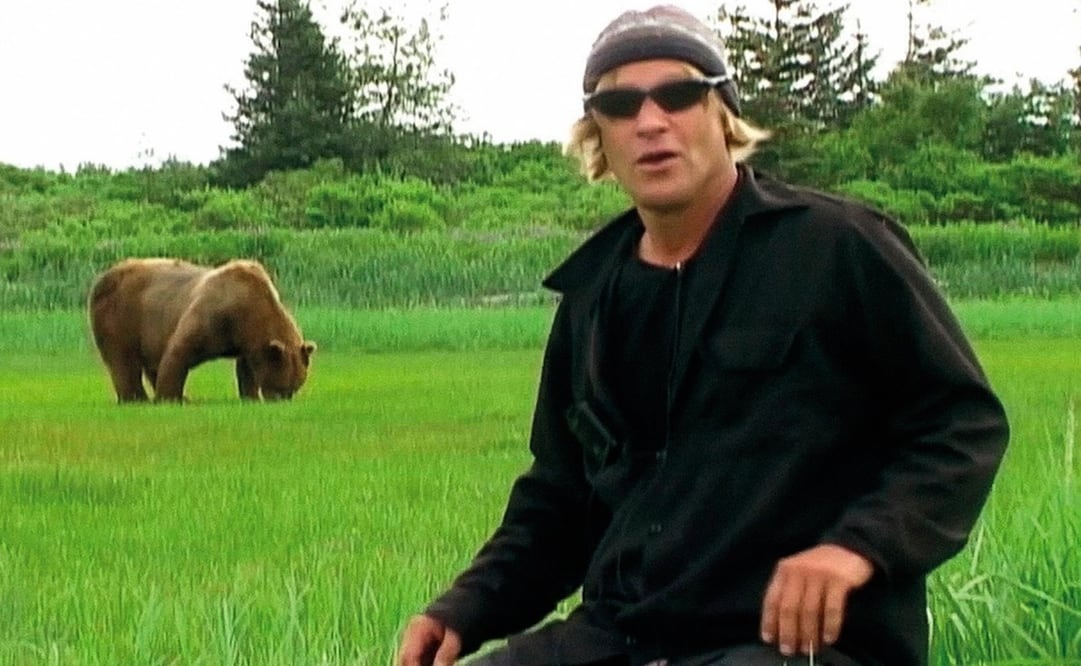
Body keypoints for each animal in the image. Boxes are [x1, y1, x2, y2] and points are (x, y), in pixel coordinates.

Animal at [88, 258, 316, 403]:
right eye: (281, 386)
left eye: (295, 387)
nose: (280, 399)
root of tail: (102, 277)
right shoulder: (212, 315)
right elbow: (178, 352)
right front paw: (169, 398)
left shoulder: (246, 340)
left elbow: (246, 368)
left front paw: (249, 396)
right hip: (120, 316)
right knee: (123, 359)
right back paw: (137, 398)